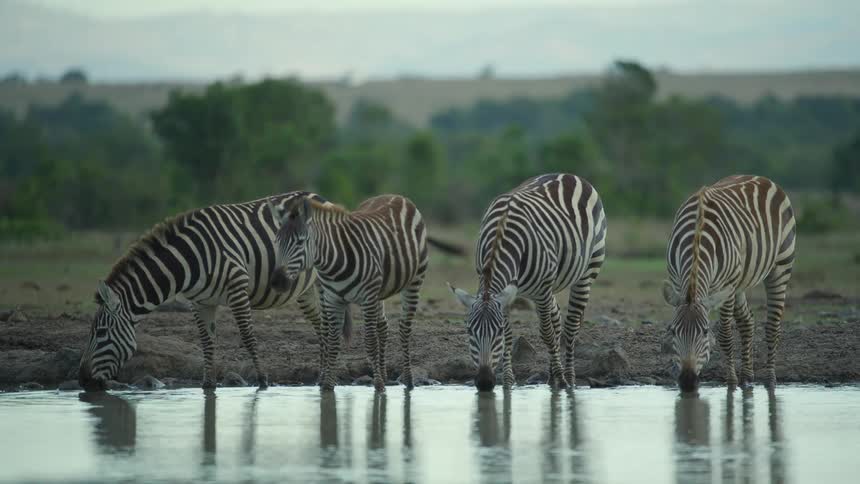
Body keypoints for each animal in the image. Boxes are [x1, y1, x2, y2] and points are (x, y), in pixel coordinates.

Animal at [78, 192, 332, 391]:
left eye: (101, 333)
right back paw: (321, 378)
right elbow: (207, 341)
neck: (188, 261)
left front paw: (262, 382)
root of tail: (316, 196)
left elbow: (248, 337)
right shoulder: (200, 302)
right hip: (305, 290)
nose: (82, 381)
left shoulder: (237, 287)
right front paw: (208, 385)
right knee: (321, 327)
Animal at [268, 194, 430, 392]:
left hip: (414, 280)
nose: (277, 281)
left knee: (404, 328)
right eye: (277, 242)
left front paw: (378, 386)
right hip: (380, 289)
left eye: (300, 241)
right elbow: (333, 342)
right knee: (383, 326)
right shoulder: (332, 300)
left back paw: (408, 380)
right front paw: (327, 386)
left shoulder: (368, 298)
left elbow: (369, 342)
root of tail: (396, 196)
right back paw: (385, 374)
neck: (333, 264)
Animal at [449, 173, 607, 391]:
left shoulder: (540, 290)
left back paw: (568, 379)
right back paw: (552, 378)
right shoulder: (506, 295)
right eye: (469, 331)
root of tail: (568, 175)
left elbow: (547, 334)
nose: (485, 383)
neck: (501, 233)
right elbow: (510, 338)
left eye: (496, 331)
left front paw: (562, 379)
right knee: (557, 320)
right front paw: (507, 382)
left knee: (570, 326)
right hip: (548, 287)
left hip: (586, 270)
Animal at [663, 175, 796, 392]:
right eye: (673, 331)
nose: (688, 382)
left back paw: (770, 381)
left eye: (705, 331)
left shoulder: (726, 285)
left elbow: (725, 335)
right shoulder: (677, 282)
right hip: (739, 283)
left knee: (772, 326)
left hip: (780, 267)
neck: (697, 237)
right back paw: (747, 378)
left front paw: (731, 384)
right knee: (747, 321)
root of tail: (761, 177)